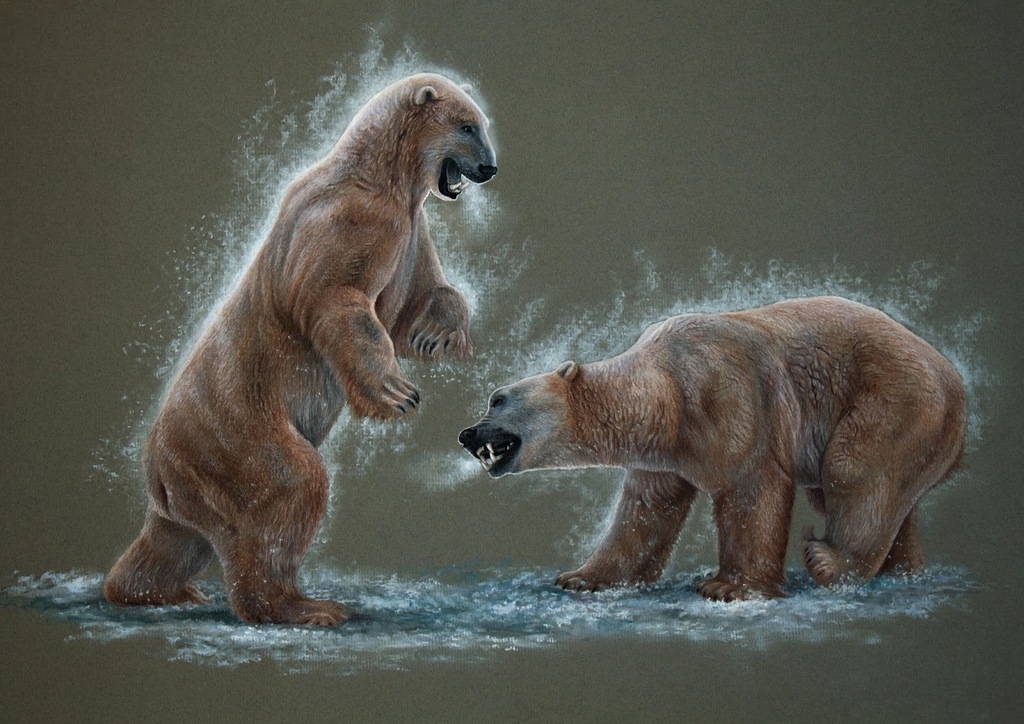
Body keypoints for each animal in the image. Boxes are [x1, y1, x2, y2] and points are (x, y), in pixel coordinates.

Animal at [104, 73, 497, 625]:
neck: (380, 177)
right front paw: (397, 395)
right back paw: (306, 606)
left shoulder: (409, 230)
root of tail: (156, 470)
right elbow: (335, 299)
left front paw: (437, 336)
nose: (489, 168)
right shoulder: (348, 222)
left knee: (175, 540)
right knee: (286, 492)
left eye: (481, 124)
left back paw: (158, 591)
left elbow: (413, 303)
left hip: (190, 487)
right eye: (466, 126)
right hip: (233, 440)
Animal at [459, 296, 966, 602]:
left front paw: (727, 587)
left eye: (497, 398)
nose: (467, 434)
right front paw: (581, 578)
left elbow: (752, 486)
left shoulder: (726, 395)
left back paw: (829, 562)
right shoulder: (666, 451)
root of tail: (953, 376)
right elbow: (645, 510)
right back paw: (901, 571)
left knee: (851, 471)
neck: (662, 389)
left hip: (894, 399)